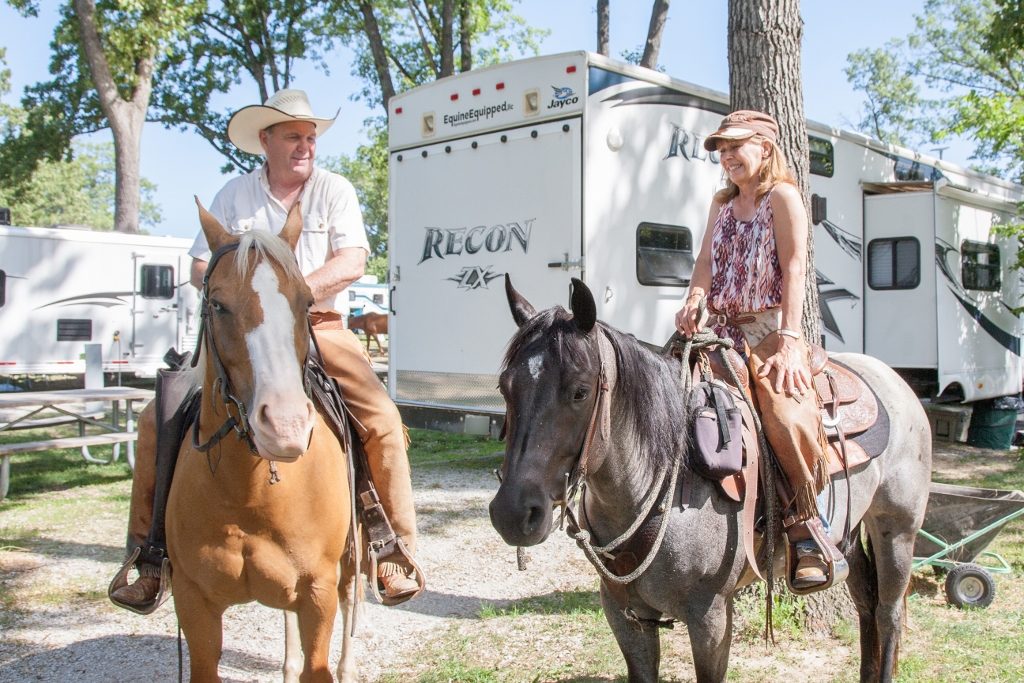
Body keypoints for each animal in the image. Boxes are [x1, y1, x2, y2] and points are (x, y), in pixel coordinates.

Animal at [166, 202, 356, 683]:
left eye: (306, 302)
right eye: (217, 304)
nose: (285, 427)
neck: (248, 495)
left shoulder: (318, 592)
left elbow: (318, 664)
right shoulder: (192, 599)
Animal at [491, 278, 933, 683]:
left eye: (580, 392)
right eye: (504, 386)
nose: (513, 514)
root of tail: (893, 380)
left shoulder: (711, 617)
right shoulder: (624, 614)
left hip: (897, 529)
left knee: (888, 612)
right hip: (851, 532)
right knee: (865, 604)